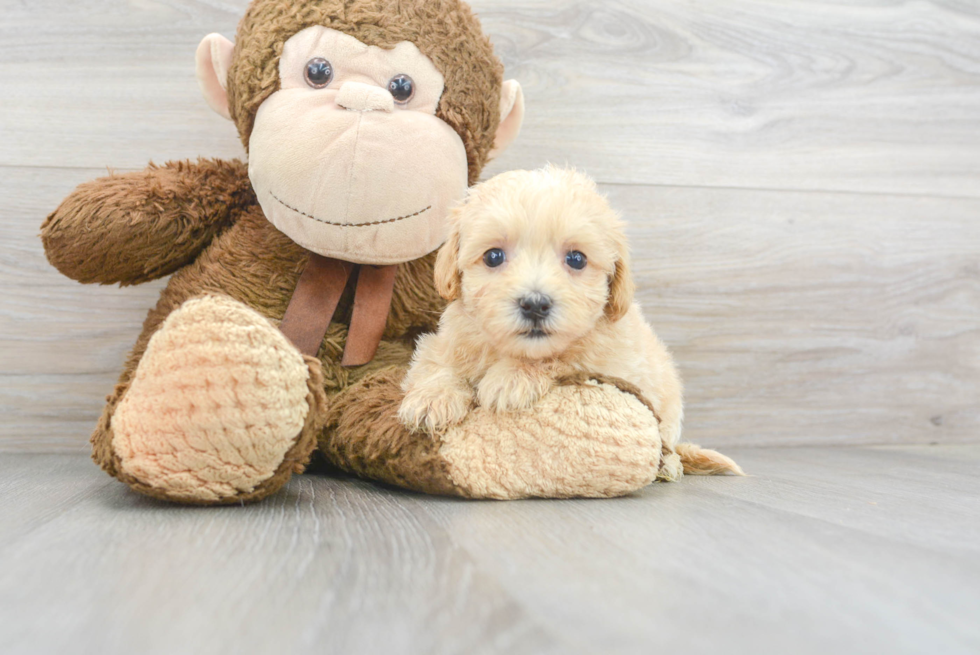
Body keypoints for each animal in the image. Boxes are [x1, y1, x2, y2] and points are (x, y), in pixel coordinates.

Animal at [398, 164, 688, 456]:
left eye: (576, 259)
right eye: (493, 256)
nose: (535, 305)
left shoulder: (613, 367)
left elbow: (564, 360)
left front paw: (511, 378)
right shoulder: (443, 341)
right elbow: (436, 362)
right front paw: (433, 398)